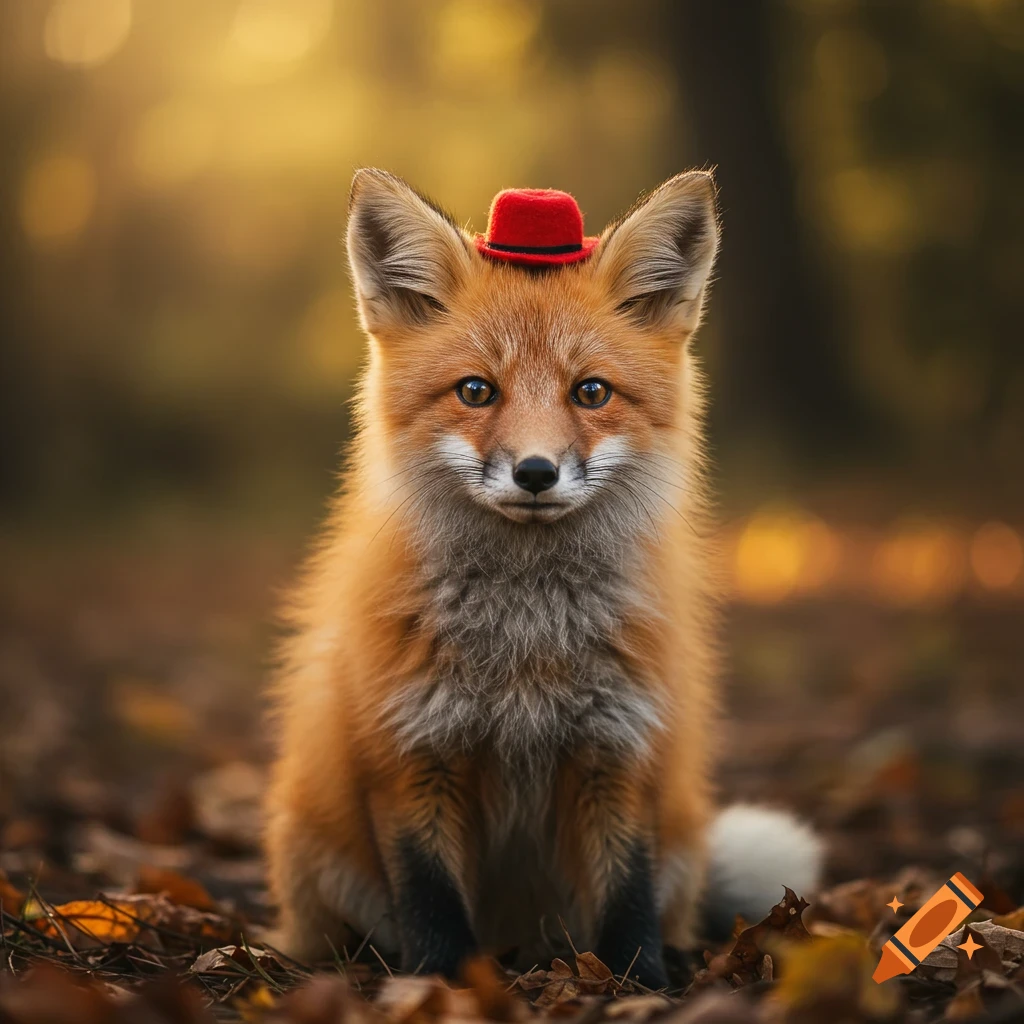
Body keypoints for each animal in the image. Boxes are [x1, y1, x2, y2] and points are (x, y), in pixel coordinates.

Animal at [264, 168, 822, 988]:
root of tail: (524, 941)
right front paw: (440, 986)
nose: (535, 472)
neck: (526, 644)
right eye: (476, 391)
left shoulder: (618, 747)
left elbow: (627, 894)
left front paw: (640, 985)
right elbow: (430, 898)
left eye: (590, 392)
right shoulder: (411, 754)